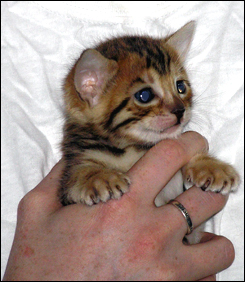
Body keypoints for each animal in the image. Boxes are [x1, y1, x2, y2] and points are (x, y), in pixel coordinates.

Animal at [59, 21, 239, 227]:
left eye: (181, 87)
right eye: (144, 95)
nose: (180, 110)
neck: (132, 147)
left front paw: (210, 166)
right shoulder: (68, 185)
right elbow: (77, 173)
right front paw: (98, 177)